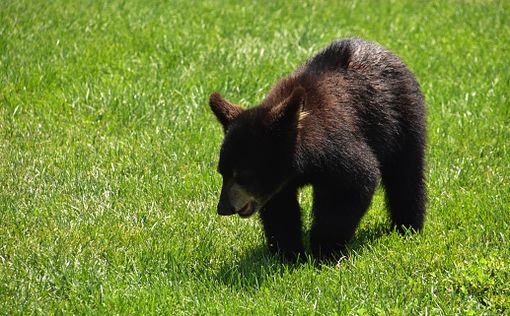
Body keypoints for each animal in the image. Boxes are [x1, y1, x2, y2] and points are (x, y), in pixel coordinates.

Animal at [207, 37, 426, 260]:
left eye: (244, 173)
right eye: (222, 172)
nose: (223, 208)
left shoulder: (337, 147)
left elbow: (353, 183)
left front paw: (324, 250)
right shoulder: (278, 185)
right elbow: (280, 209)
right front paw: (288, 254)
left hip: (403, 121)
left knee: (406, 175)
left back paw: (407, 227)